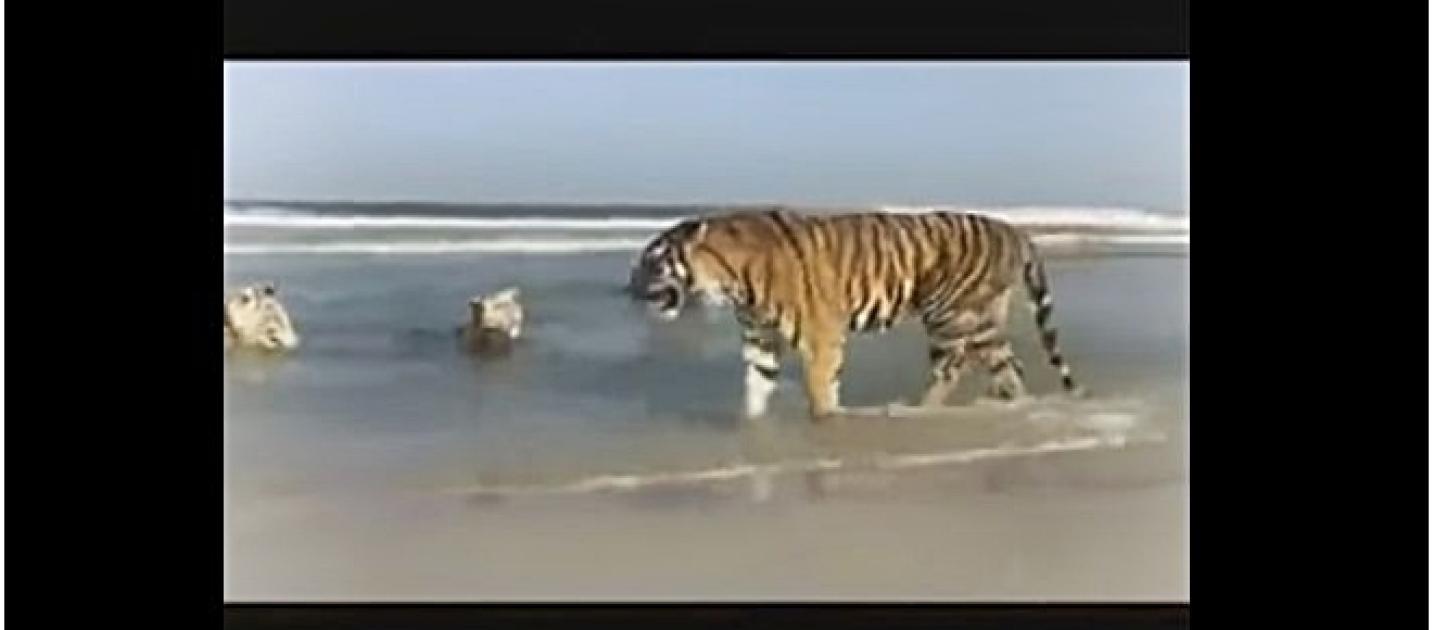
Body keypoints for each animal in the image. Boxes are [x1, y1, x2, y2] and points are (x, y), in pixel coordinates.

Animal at [627, 207, 1085, 421]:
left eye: (652, 262)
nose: (628, 288)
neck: (730, 283)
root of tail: (1013, 229)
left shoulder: (821, 337)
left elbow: (820, 390)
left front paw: (828, 421)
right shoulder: (761, 342)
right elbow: (755, 391)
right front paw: (750, 426)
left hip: (950, 314)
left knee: (951, 366)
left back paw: (914, 410)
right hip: (983, 319)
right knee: (1008, 366)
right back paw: (1011, 404)